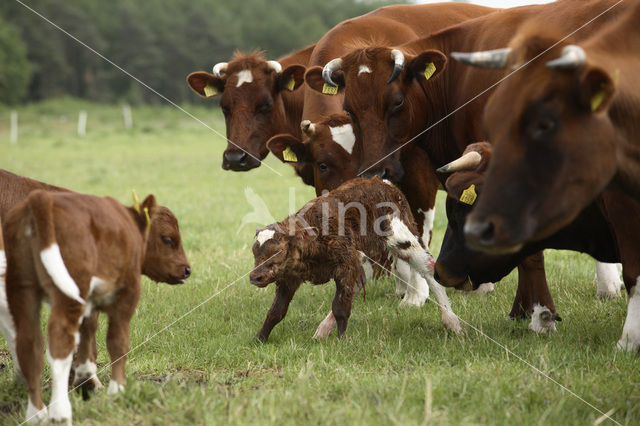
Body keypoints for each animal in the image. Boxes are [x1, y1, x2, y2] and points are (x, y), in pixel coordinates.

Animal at [5, 191, 190, 424]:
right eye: (168, 239)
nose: (187, 270)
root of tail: (41, 197)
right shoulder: (127, 295)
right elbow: (118, 342)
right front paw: (116, 390)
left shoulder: (89, 301)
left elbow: (88, 329)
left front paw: (86, 378)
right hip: (68, 291)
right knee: (60, 344)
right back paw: (60, 413)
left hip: (22, 290)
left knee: (30, 346)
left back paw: (37, 414)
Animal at [249, 175, 460, 342]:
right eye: (254, 252)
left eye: (278, 251)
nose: (255, 277)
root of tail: (383, 182)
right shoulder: (289, 277)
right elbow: (276, 311)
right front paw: (260, 337)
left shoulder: (346, 263)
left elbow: (340, 306)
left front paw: (342, 339)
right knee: (361, 281)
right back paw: (323, 330)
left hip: (402, 238)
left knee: (427, 268)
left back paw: (452, 322)